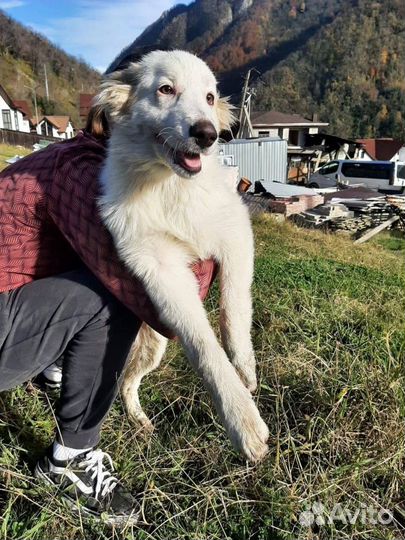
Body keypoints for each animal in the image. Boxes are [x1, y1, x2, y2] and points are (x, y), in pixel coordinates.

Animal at [94, 50, 268, 462]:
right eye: (166, 89)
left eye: (209, 97)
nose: (206, 134)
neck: (169, 186)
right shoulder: (161, 271)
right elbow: (204, 347)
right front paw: (243, 421)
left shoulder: (235, 230)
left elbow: (234, 306)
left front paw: (245, 368)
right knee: (125, 382)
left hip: (153, 343)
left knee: (127, 381)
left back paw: (140, 421)